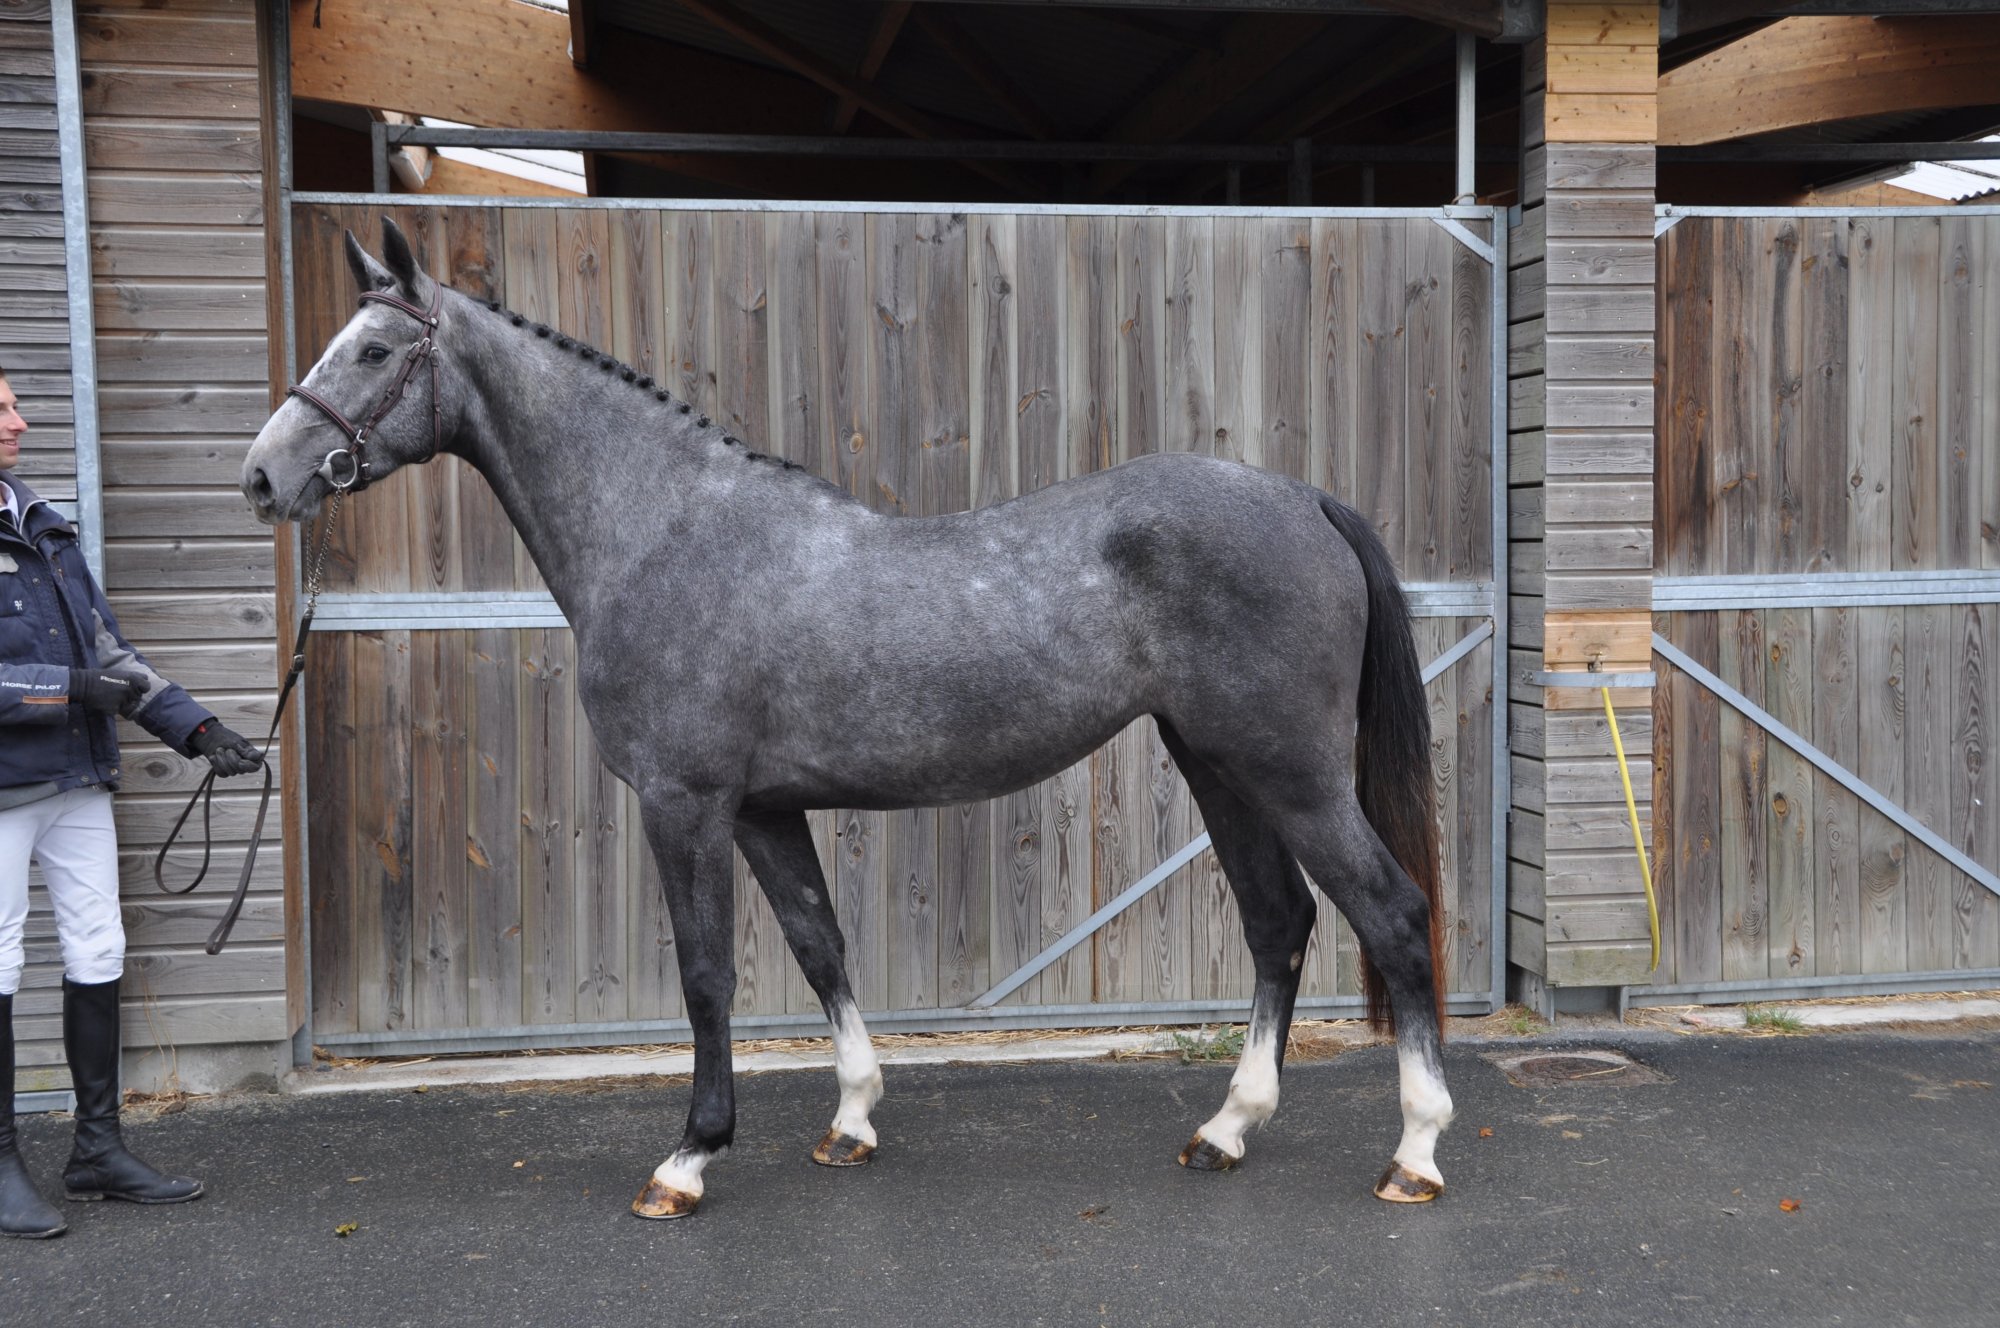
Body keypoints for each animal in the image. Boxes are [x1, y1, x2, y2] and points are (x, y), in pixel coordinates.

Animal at [244, 217, 1455, 1220]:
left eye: (371, 351)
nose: (262, 478)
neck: (666, 534)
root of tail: (1304, 499)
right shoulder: (764, 811)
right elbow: (817, 942)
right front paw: (851, 1121)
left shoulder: (685, 805)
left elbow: (708, 975)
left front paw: (687, 1159)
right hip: (1217, 764)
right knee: (1278, 922)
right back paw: (1226, 1129)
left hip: (1292, 773)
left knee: (1392, 914)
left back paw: (1415, 1151)